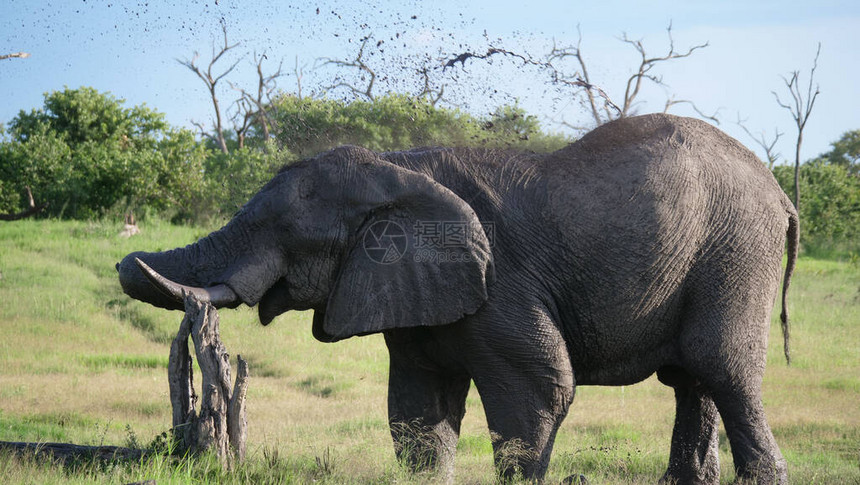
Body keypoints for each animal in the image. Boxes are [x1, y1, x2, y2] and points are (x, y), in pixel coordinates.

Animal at [117, 112, 796, 480]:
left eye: (282, 231)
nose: (125, 261)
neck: (395, 167)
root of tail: (781, 193)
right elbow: (418, 411)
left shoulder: (502, 282)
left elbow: (540, 390)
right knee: (691, 381)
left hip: (736, 251)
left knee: (722, 369)